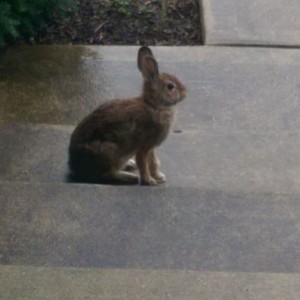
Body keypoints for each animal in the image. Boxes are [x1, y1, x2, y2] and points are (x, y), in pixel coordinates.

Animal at [69, 46, 186, 185]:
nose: (185, 91)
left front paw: (159, 177)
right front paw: (149, 181)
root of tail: (74, 167)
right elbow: (143, 163)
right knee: (107, 174)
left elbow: (153, 162)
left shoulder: (151, 147)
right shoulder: (143, 145)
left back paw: (130, 165)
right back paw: (130, 177)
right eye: (170, 86)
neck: (154, 105)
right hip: (109, 151)